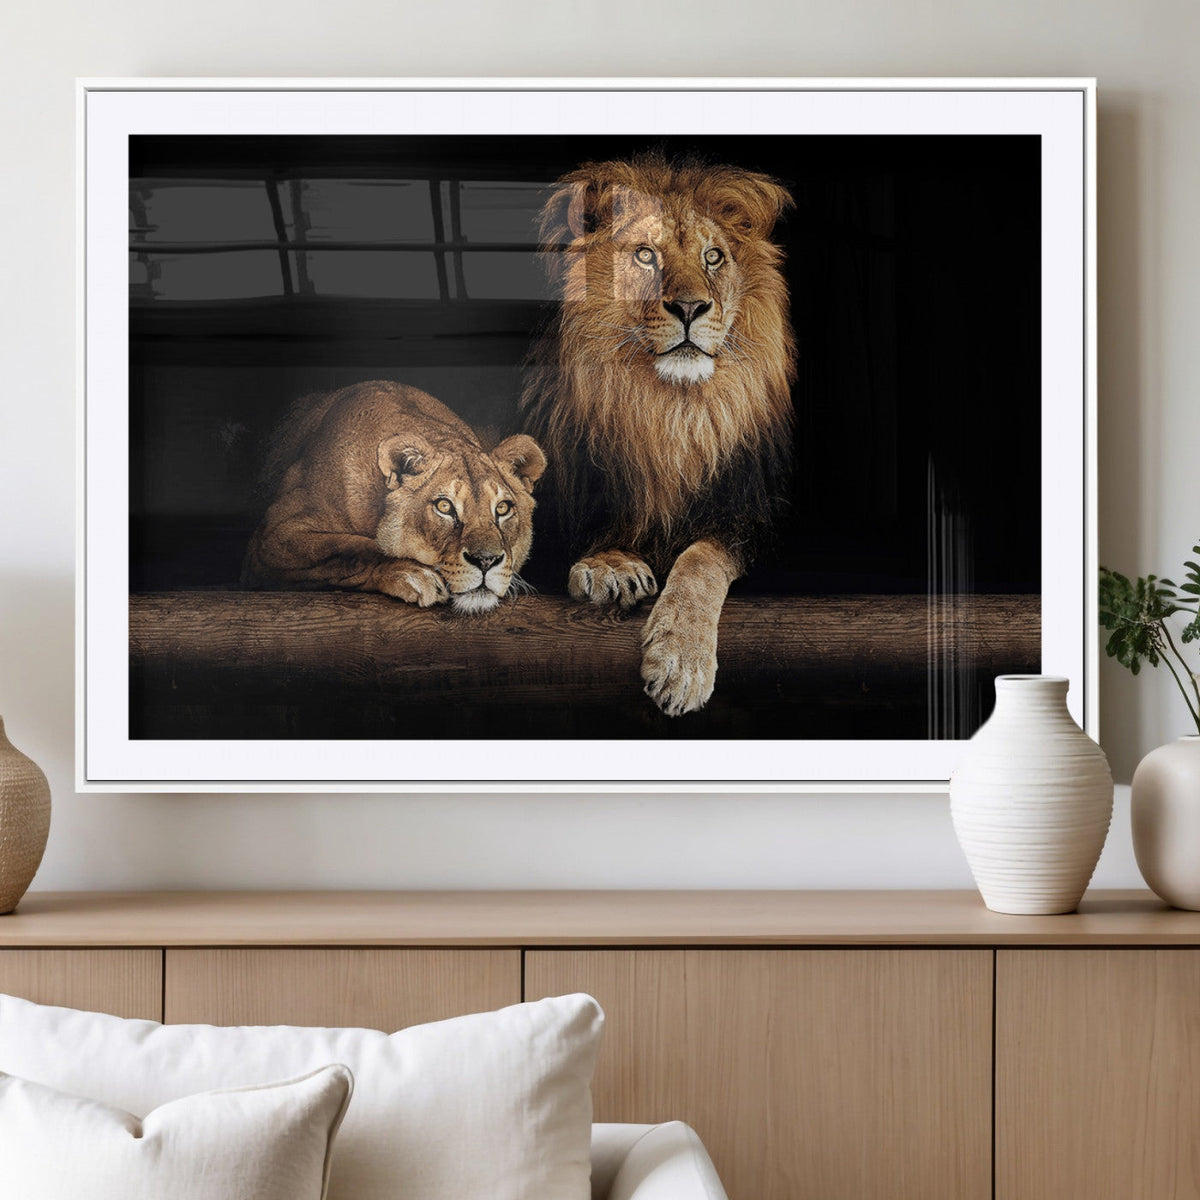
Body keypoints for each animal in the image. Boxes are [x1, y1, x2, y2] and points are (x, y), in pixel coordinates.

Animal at [242, 381, 546, 615]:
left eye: (503, 508)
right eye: (444, 506)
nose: (486, 561)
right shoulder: (273, 536)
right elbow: (352, 548)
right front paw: (415, 574)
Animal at [522, 152, 796, 716]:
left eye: (713, 257)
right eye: (646, 256)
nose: (690, 308)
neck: (669, 413)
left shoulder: (755, 517)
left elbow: (702, 559)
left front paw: (681, 661)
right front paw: (611, 566)